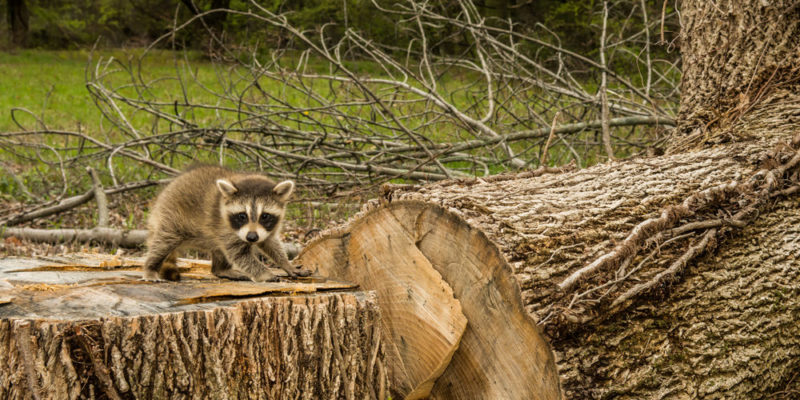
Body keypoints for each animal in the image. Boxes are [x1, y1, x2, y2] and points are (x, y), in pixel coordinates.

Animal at [142, 165, 310, 282]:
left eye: (264, 216)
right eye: (242, 216)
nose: (252, 238)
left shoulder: (266, 229)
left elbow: (271, 244)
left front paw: (286, 264)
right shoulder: (224, 227)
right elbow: (240, 255)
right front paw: (264, 273)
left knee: (218, 250)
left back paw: (221, 269)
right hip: (171, 217)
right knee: (163, 243)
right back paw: (150, 267)